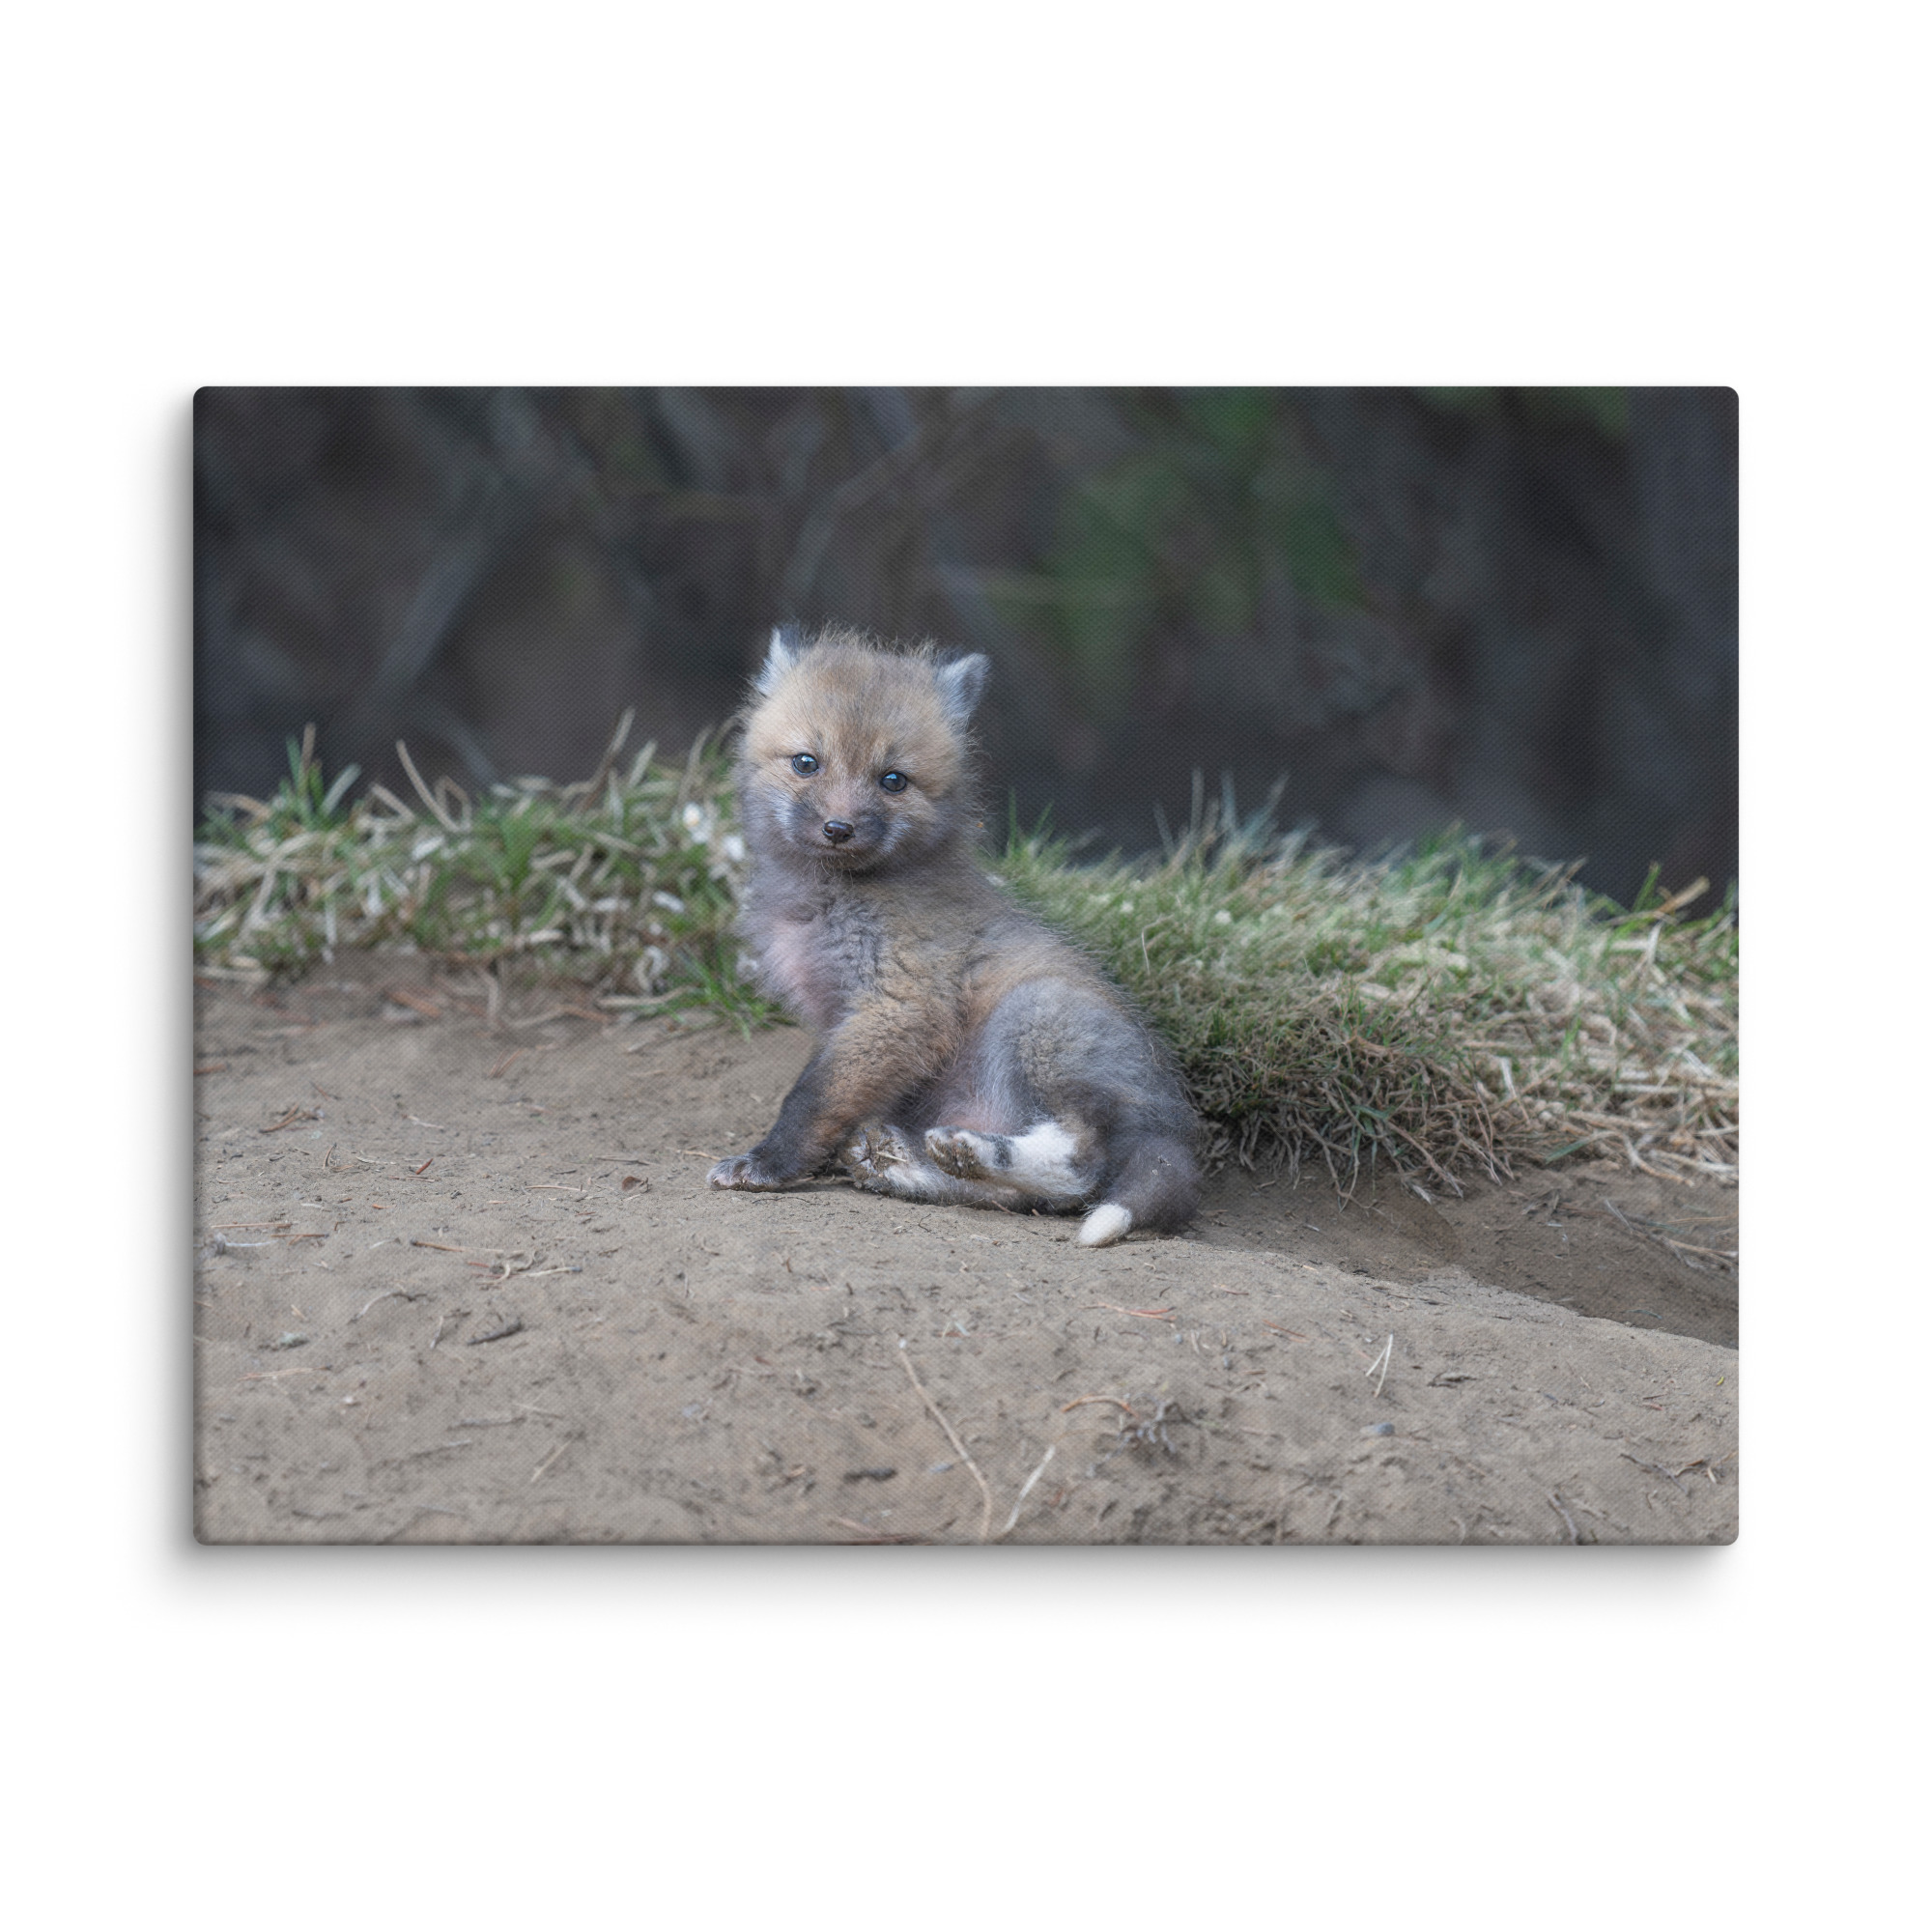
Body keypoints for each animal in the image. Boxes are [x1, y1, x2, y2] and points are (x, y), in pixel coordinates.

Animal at [705, 625, 1201, 1247]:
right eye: (806, 763)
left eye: (893, 780)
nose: (838, 828)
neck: (830, 900)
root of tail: (1174, 1125)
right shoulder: (846, 1019)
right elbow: (834, 1098)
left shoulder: (900, 1004)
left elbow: (812, 1098)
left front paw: (768, 1164)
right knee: (1027, 1198)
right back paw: (910, 1165)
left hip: (1035, 1017)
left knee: (1081, 1166)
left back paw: (972, 1152)